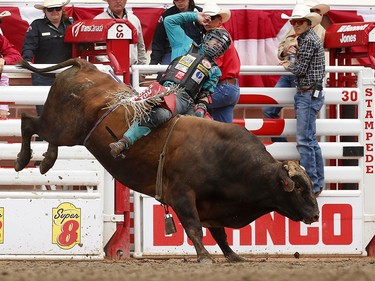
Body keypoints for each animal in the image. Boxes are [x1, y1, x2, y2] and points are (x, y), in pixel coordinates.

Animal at [15, 59, 320, 262]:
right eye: (299, 189)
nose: (316, 215)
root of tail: (85, 66)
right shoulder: (182, 195)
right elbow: (194, 228)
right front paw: (204, 256)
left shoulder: (212, 204)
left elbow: (220, 233)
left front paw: (233, 256)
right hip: (62, 126)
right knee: (28, 121)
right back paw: (22, 159)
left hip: (66, 131)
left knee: (45, 136)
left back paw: (46, 161)